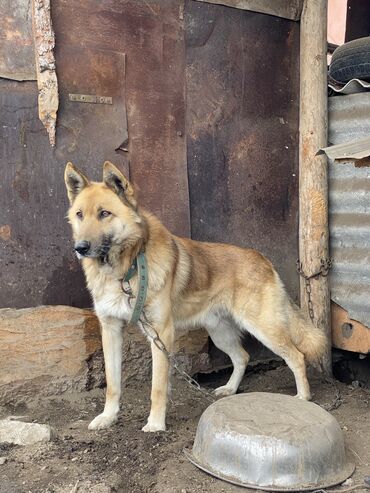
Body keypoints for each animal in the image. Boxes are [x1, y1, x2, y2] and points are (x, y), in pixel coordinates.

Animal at [63, 161, 326, 430]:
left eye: (105, 213)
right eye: (79, 215)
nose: (80, 248)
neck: (125, 269)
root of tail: (261, 258)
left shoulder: (161, 332)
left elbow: (157, 387)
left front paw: (156, 424)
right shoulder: (111, 330)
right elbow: (113, 384)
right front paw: (108, 417)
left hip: (264, 328)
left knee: (296, 356)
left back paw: (303, 398)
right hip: (220, 333)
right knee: (242, 357)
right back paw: (230, 389)